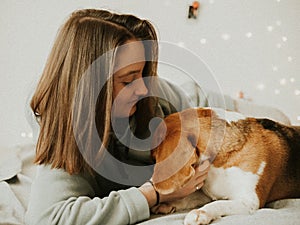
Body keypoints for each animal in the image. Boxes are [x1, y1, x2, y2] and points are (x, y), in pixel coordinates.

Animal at [151, 107, 298, 225]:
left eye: (153, 153)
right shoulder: (211, 193)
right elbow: (189, 197)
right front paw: (167, 203)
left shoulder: (250, 201)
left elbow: (218, 204)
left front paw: (199, 213)